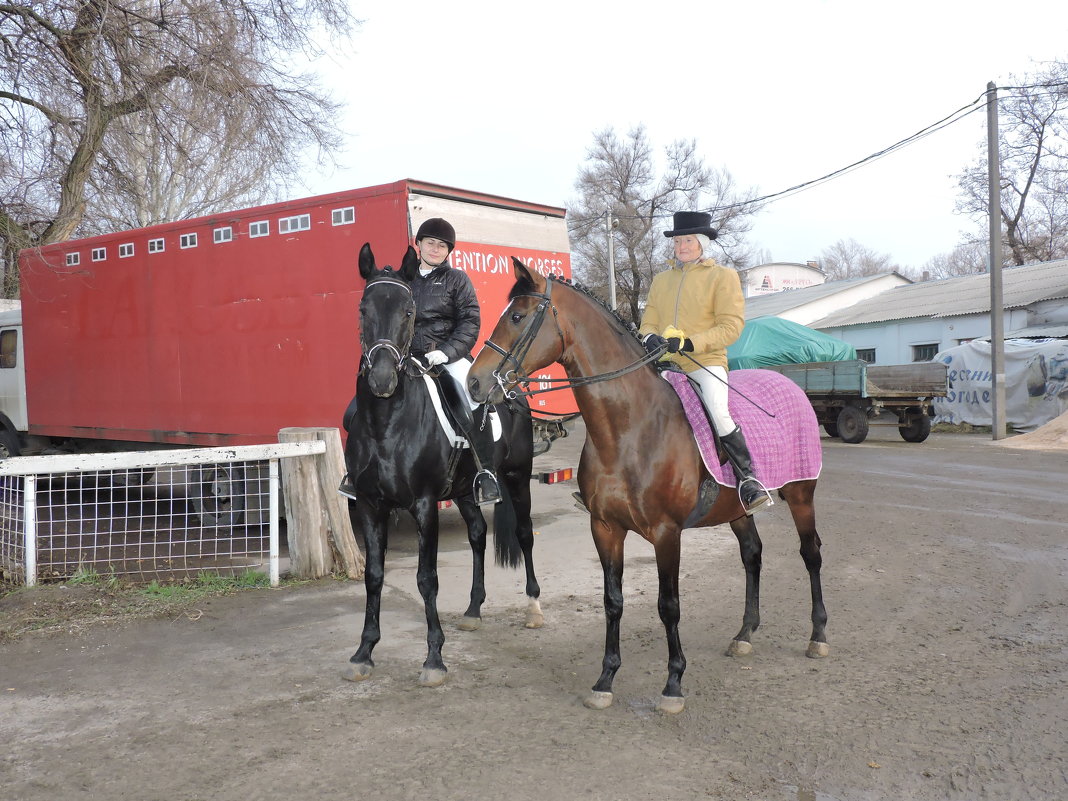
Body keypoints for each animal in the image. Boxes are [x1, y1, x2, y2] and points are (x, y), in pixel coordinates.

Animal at [341, 244, 542, 692]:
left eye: (409, 311)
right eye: (362, 309)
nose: (382, 379)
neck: (387, 423)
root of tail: (510, 387)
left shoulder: (423, 505)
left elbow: (426, 578)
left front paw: (434, 658)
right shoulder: (369, 505)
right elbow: (374, 575)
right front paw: (364, 652)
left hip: (518, 476)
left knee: (524, 534)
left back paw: (534, 608)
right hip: (467, 489)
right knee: (478, 535)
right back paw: (472, 610)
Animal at [465, 261, 824, 713]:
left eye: (516, 316)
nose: (474, 383)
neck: (628, 429)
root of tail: (792, 386)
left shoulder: (666, 533)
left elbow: (668, 605)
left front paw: (673, 684)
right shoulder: (605, 528)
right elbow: (612, 601)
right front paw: (605, 679)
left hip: (800, 494)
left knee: (810, 554)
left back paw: (818, 636)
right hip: (738, 509)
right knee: (752, 556)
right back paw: (744, 635)